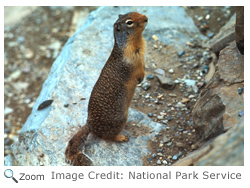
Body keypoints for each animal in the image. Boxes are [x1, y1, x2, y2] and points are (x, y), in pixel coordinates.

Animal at [65, 11, 148, 165]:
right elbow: (138, 72)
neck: (136, 41)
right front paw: (140, 80)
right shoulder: (132, 64)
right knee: (107, 137)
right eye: (129, 22)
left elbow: (144, 67)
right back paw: (121, 137)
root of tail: (89, 124)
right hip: (120, 119)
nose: (146, 18)